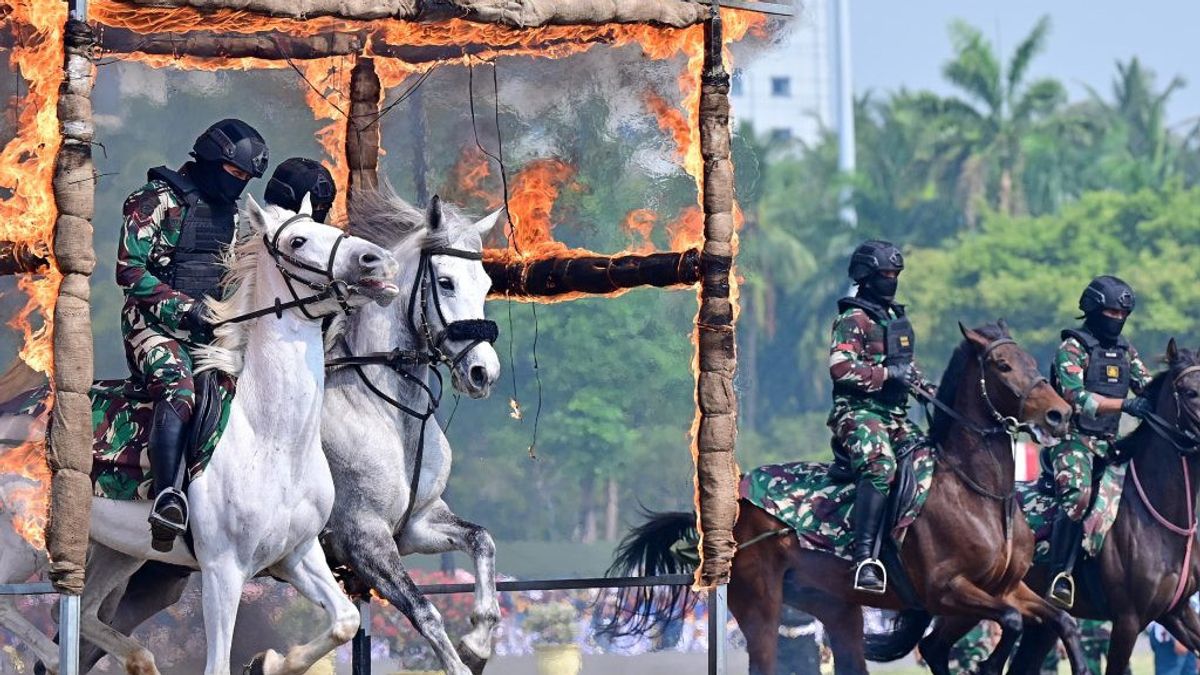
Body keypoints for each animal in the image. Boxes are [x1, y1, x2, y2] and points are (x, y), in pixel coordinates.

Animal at [0, 195, 403, 672]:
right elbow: (218, 664)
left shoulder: (299, 554)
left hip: (119, 550)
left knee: (89, 612)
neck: (273, 441)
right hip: (19, 544)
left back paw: (138, 660)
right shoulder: (223, 571)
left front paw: (270, 661)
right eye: (298, 241)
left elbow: (344, 622)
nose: (377, 260)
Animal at [600, 321, 1089, 672]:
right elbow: (1008, 622)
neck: (981, 493)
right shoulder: (948, 590)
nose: (1059, 413)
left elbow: (1059, 619)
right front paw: (990, 666)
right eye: (1002, 365)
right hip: (761, 604)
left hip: (835, 609)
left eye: (1032, 360)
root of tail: (733, 509)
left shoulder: (1007, 587)